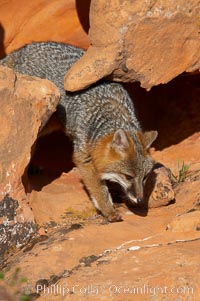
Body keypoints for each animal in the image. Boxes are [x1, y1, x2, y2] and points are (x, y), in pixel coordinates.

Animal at [0, 42, 158, 220]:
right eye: (128, 176)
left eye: (145, 177)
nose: (140, 199)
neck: (112, 114)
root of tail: (24, 49)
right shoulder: (84, 157)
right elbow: (99, 189)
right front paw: (109, 211)